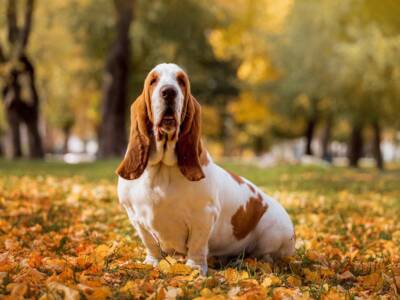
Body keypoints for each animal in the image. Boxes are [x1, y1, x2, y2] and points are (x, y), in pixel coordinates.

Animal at [115, 62, 294, 274]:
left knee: (265, 256)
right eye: (153, 81)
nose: (169, 92)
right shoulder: (135, 217)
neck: (162, 169)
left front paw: (194, 269)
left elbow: (197, 245)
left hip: (275, 231)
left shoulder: (204, 215)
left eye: (181, 81)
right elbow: (150, 243)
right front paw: (151, 263)